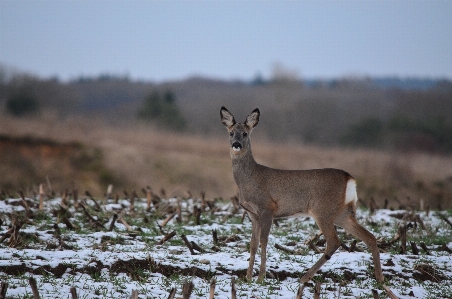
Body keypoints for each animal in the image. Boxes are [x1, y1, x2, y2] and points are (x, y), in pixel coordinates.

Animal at [221, 106, 384, 284]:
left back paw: (305, 277)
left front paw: (261, 277)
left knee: (334, 242)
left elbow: (264, 240)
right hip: (342, 213)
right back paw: (380, 279)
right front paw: (248, 277)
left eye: (245, 133)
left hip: (323, 210)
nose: (236, 144)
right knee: (370, 237)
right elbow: (253, 243)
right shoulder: (253, 214)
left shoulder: (267, 207)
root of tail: (350, 179)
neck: (250, 178)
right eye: (231, 133)